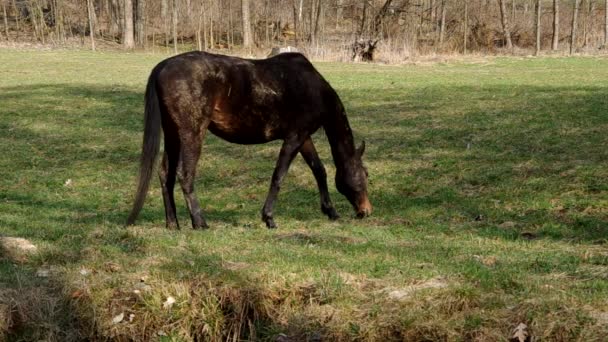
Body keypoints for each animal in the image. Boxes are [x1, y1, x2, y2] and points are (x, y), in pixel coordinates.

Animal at [128, 51, 370, 230]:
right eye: (366, 174)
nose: (366, 211)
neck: (314, 88)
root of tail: (163, 66)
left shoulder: (304, 138)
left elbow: (319, 170)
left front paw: (330, 211)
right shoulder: (295, 137)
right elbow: (279, 175)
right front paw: (269, 218)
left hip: (173, 135)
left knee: (165, 174)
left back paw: (173, 223)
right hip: (191, 134)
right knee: (184, 174)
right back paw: (199, 222)